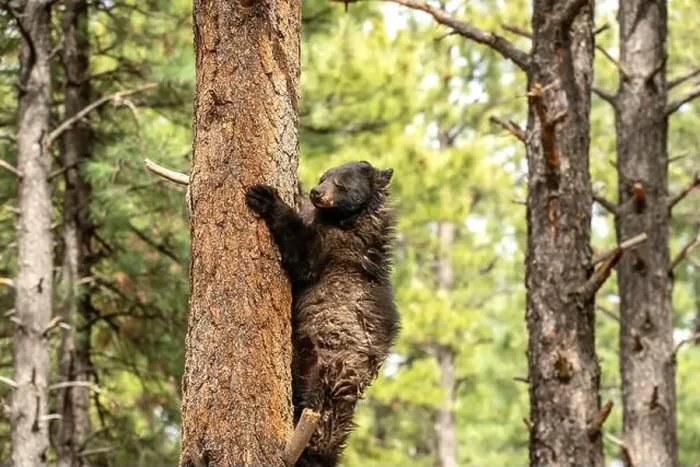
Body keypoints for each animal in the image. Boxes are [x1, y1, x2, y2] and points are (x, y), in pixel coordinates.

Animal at [245, 160, 400, 467]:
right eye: (323, 177)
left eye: (341, 184)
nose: (317, 192)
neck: (344, 219)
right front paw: (297, 188)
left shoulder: (338, 246)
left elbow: (303, 257)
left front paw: (267, 198)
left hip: (320, 363)